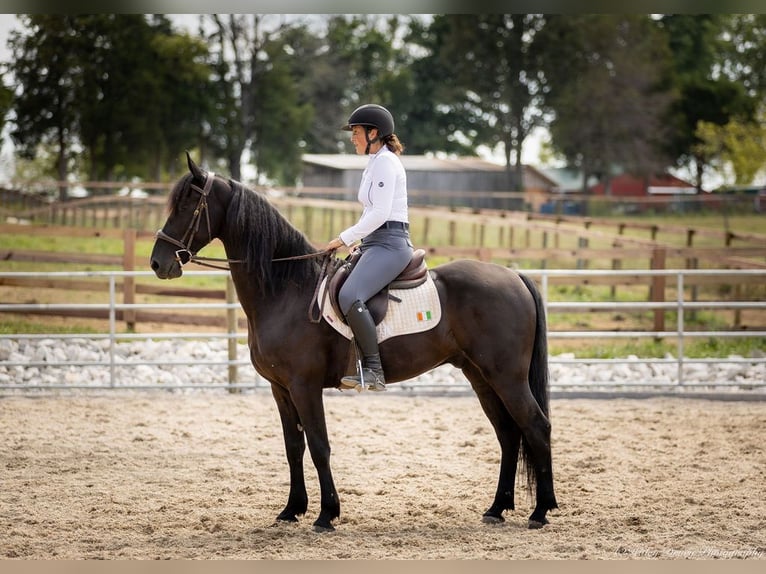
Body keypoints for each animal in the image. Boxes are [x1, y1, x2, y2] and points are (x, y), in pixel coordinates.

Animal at [148, 155, 560, 532]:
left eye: (187, 203)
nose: (157, 263)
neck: (285, 289)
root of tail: (515, 276)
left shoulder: (304, 386)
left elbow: (319, 446)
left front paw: (326, 514)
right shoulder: (280, 388)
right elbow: (293, 447)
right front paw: (292, 510)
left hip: (507, 377)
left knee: (536, 427)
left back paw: (541, 511)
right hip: (481, 377)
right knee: (508, 434)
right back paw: (497, 508)